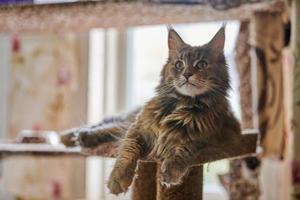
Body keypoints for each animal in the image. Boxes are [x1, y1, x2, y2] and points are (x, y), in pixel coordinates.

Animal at [61, 25, 241, 195]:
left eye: (202, 64)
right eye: (179, 64)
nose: (187, 74)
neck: (182, 103)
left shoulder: (207, 138)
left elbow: (184, 149)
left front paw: (170, 171)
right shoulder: (138, 129)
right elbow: (127, 153)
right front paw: (118, 179)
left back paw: (81, 137)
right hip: (133, 118)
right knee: (108, 124)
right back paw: (74, 136)